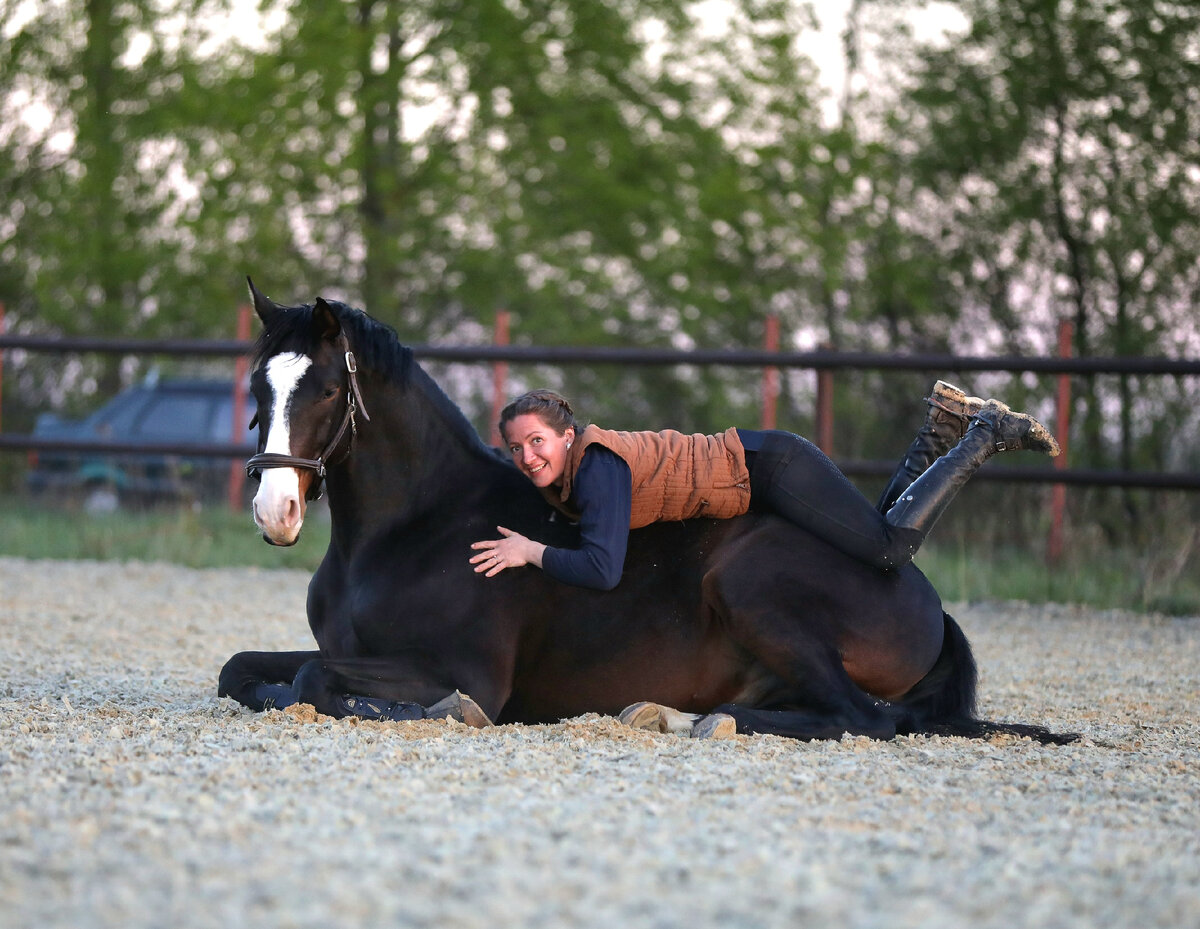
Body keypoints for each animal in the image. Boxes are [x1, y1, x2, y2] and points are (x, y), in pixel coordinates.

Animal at [218, 279, 1080, 744]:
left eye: (326, 388)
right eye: (259, 385)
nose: (275, 511)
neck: (415, 529)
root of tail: (927, 600)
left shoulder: (466, 667)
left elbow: (313, 679)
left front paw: (431, 708)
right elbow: (244, 671)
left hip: (753, 582)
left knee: (863, 718)